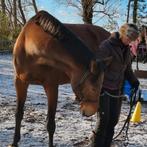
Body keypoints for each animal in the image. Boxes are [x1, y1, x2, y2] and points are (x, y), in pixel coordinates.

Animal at [10, 10, 110, 147]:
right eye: (93, 88)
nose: (90, 111)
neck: (30, 48)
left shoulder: (51, 86)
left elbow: (50, 124)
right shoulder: (20, 82)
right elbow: (18, 114)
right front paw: (14, 142)